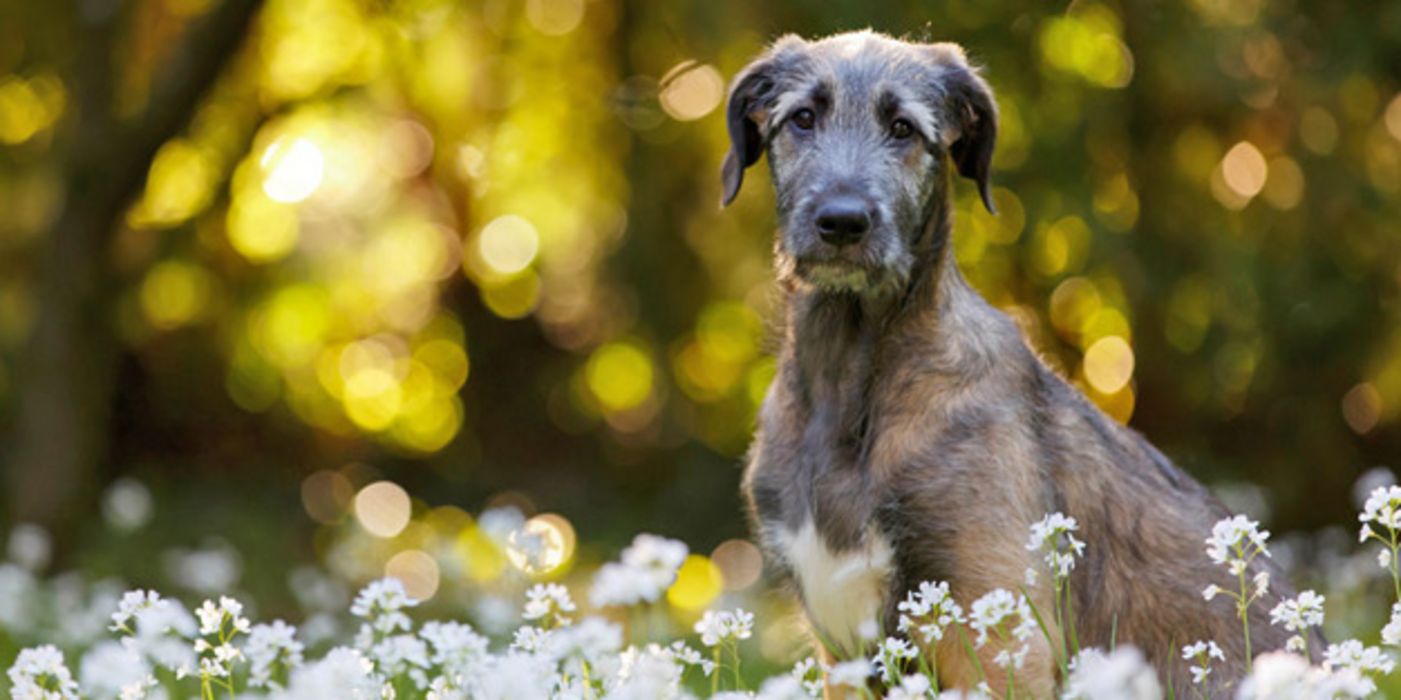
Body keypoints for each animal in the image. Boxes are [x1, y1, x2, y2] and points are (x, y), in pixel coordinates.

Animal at [722, 28, 1300, 694]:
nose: (843, 222)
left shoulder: (994, 622)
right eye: (803, 119)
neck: (853, 370)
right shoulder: (841, 647)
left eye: (902, 129)